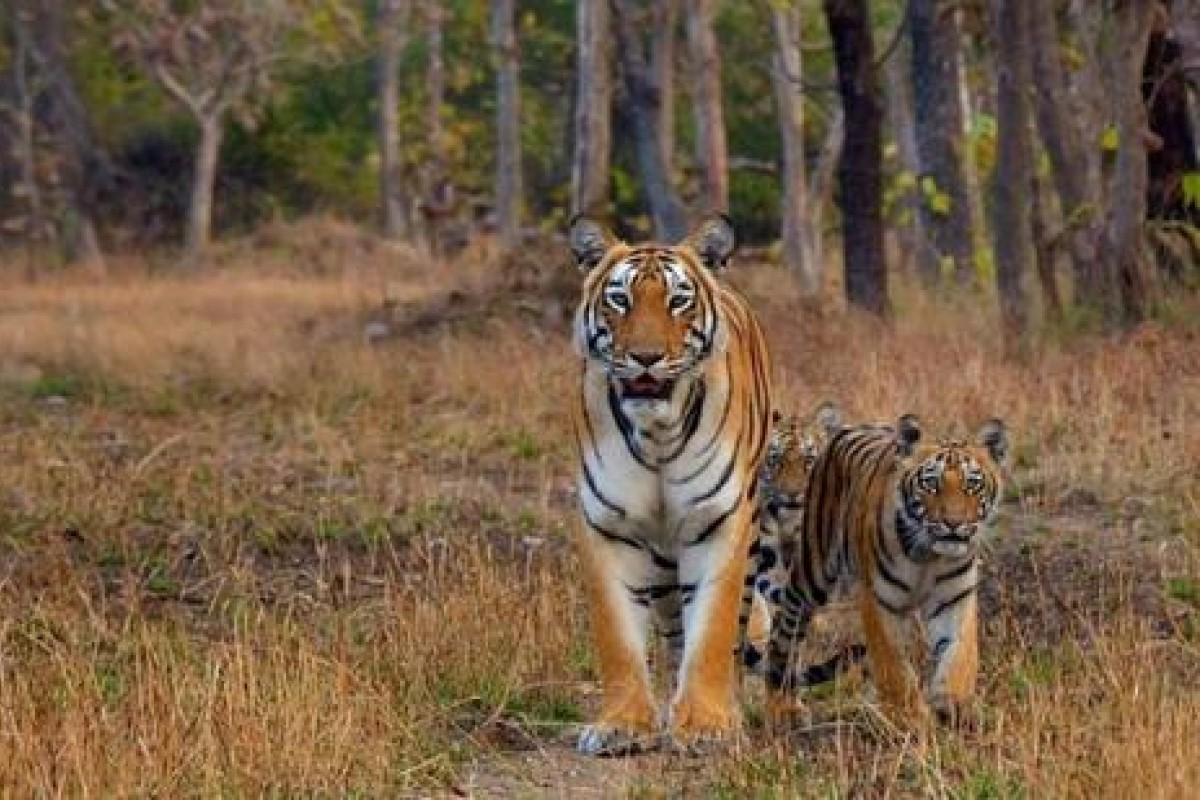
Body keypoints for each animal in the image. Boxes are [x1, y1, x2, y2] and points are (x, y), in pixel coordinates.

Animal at [567, 215, 772, 755]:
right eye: (620, 299)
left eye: (679, 300)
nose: (645, 357)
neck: (657, 433)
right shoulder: (608, 528)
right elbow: (618, 638)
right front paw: (622, 725)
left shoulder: (720, 523)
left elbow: (714, 630)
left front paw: (706, 724)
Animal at [765, 414, 1007, 722]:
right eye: (931, 483)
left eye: (972, 484)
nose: (953, 523)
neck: (928, 555)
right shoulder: (879, 601)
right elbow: (893, 666)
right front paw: (911, 717)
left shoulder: (955, 599)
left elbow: (959, 656)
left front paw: (954, 705)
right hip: (812, 568)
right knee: (786, 624)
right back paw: (782, 705)